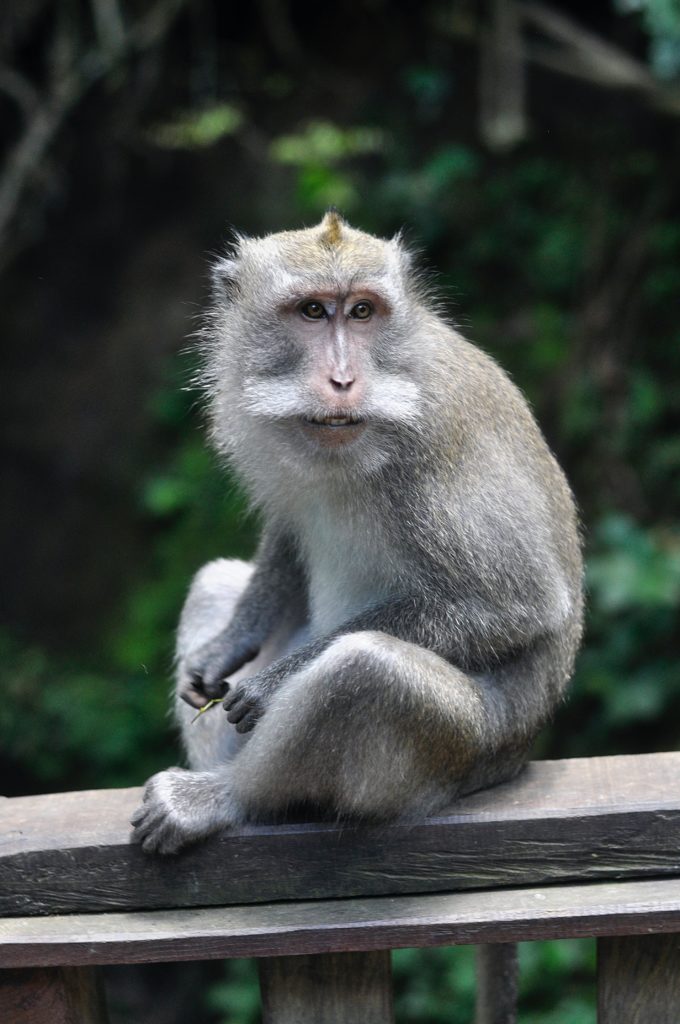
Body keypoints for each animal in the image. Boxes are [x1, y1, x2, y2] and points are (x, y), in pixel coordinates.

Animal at [130, 211, 581, 860]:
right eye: (313, 311)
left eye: (363, 311)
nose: (343, 379)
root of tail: (515, 757)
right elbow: (287, 533)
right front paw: (228, 647)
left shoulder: (435, 443)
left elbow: (518, 604)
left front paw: (271, 683)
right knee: (214, 581)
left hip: (453, 754)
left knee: (366, 670)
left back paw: (225, 797)